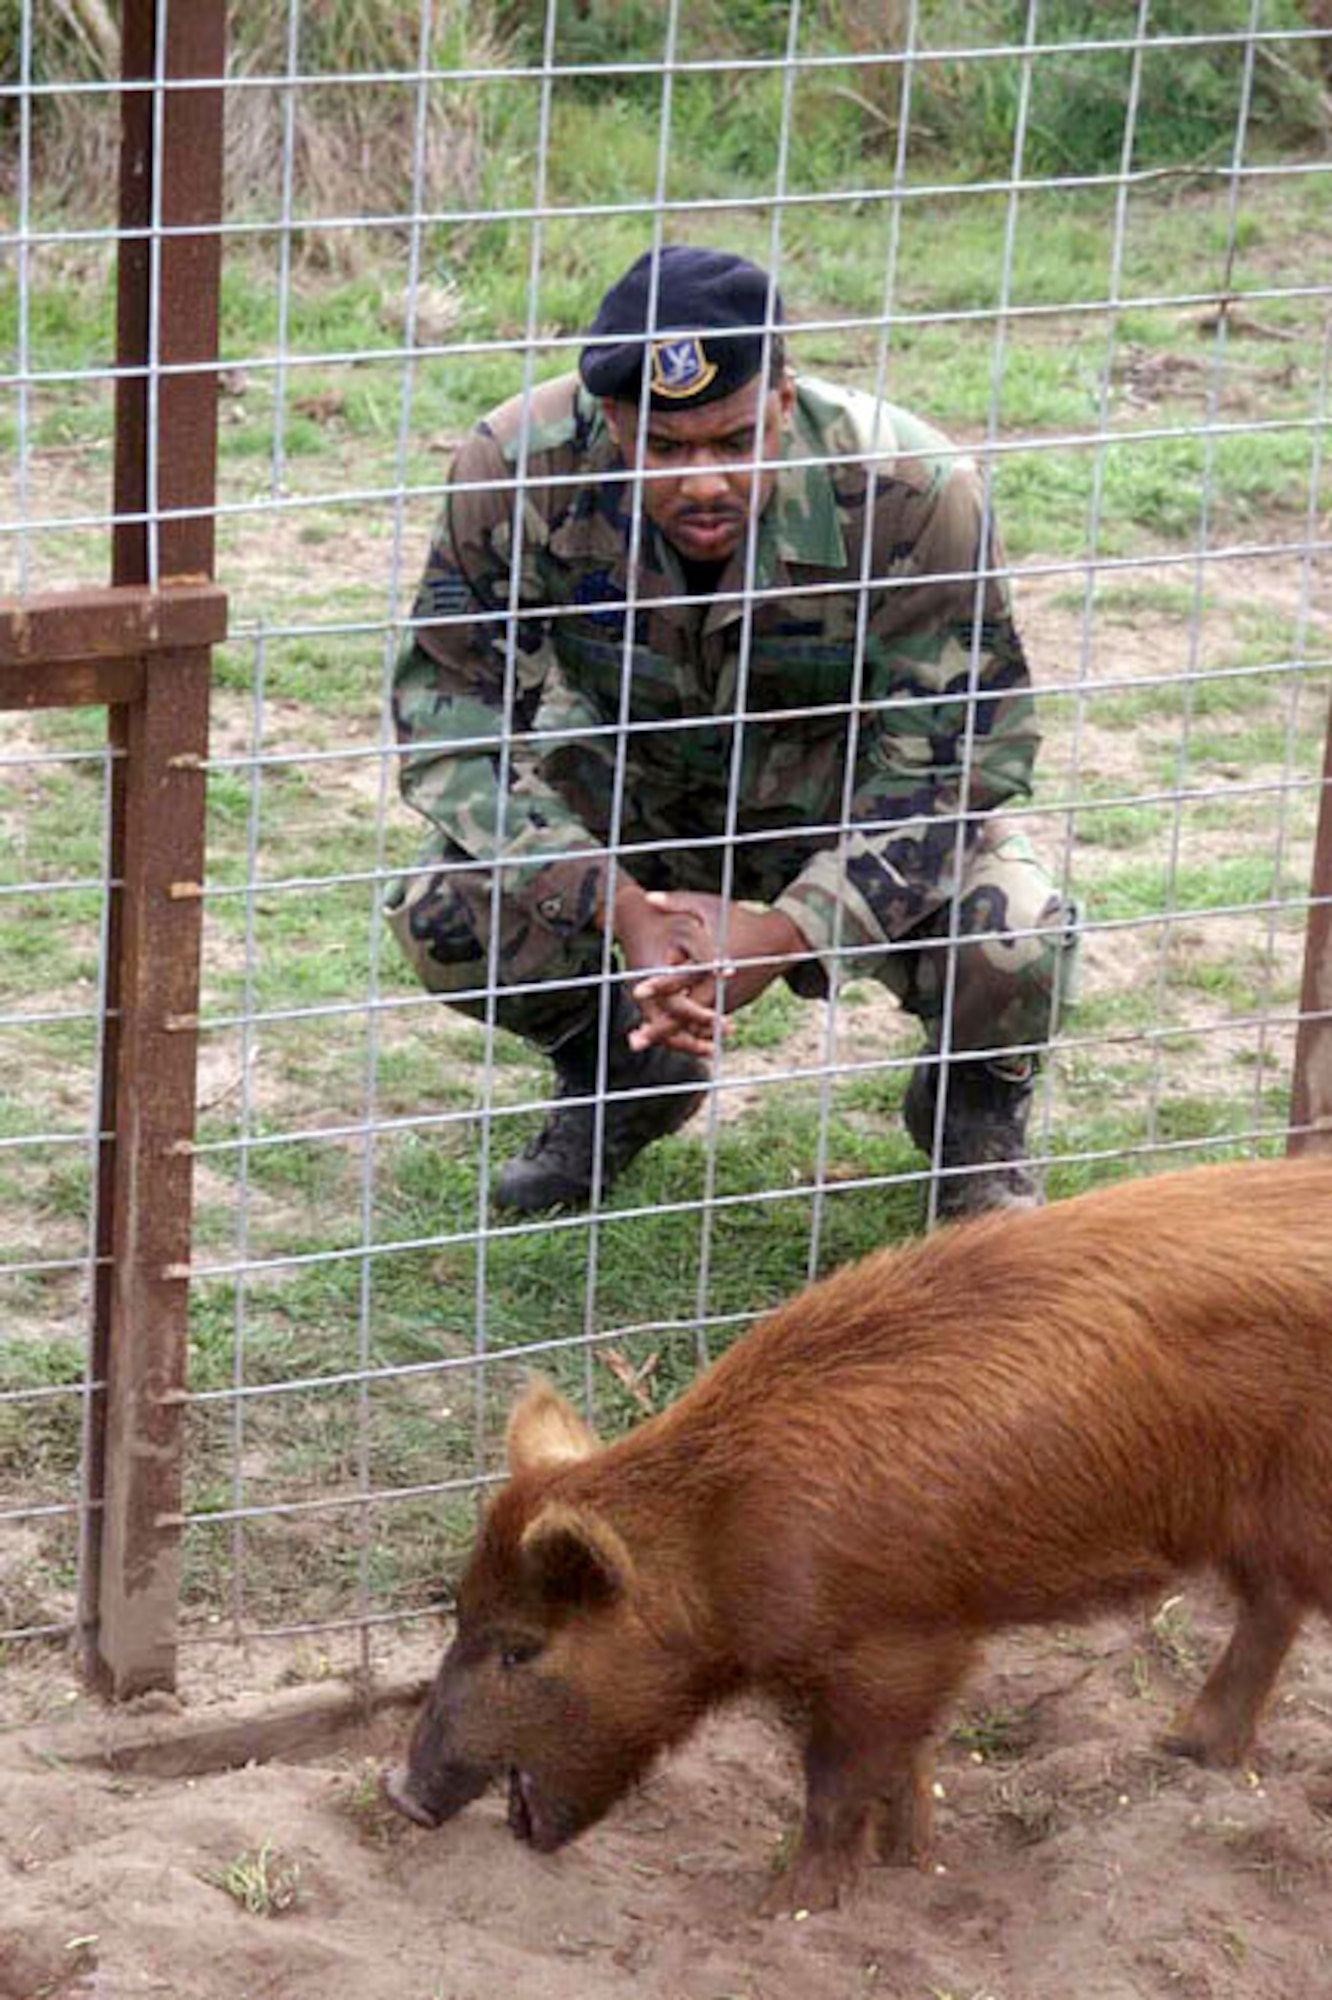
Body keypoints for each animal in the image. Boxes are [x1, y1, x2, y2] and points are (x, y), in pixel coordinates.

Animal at [382, 1160, 1328, 1904]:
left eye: (523, 1647)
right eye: (458, 1614)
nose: (398, 1793)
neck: (723, 1536)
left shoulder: (894, 1642)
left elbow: (837, 1782)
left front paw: (786, 1910)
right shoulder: (923, 1641)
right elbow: (909, 1765)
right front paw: (914, 1867)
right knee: (1271, 1606)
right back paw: (1184, 1747)